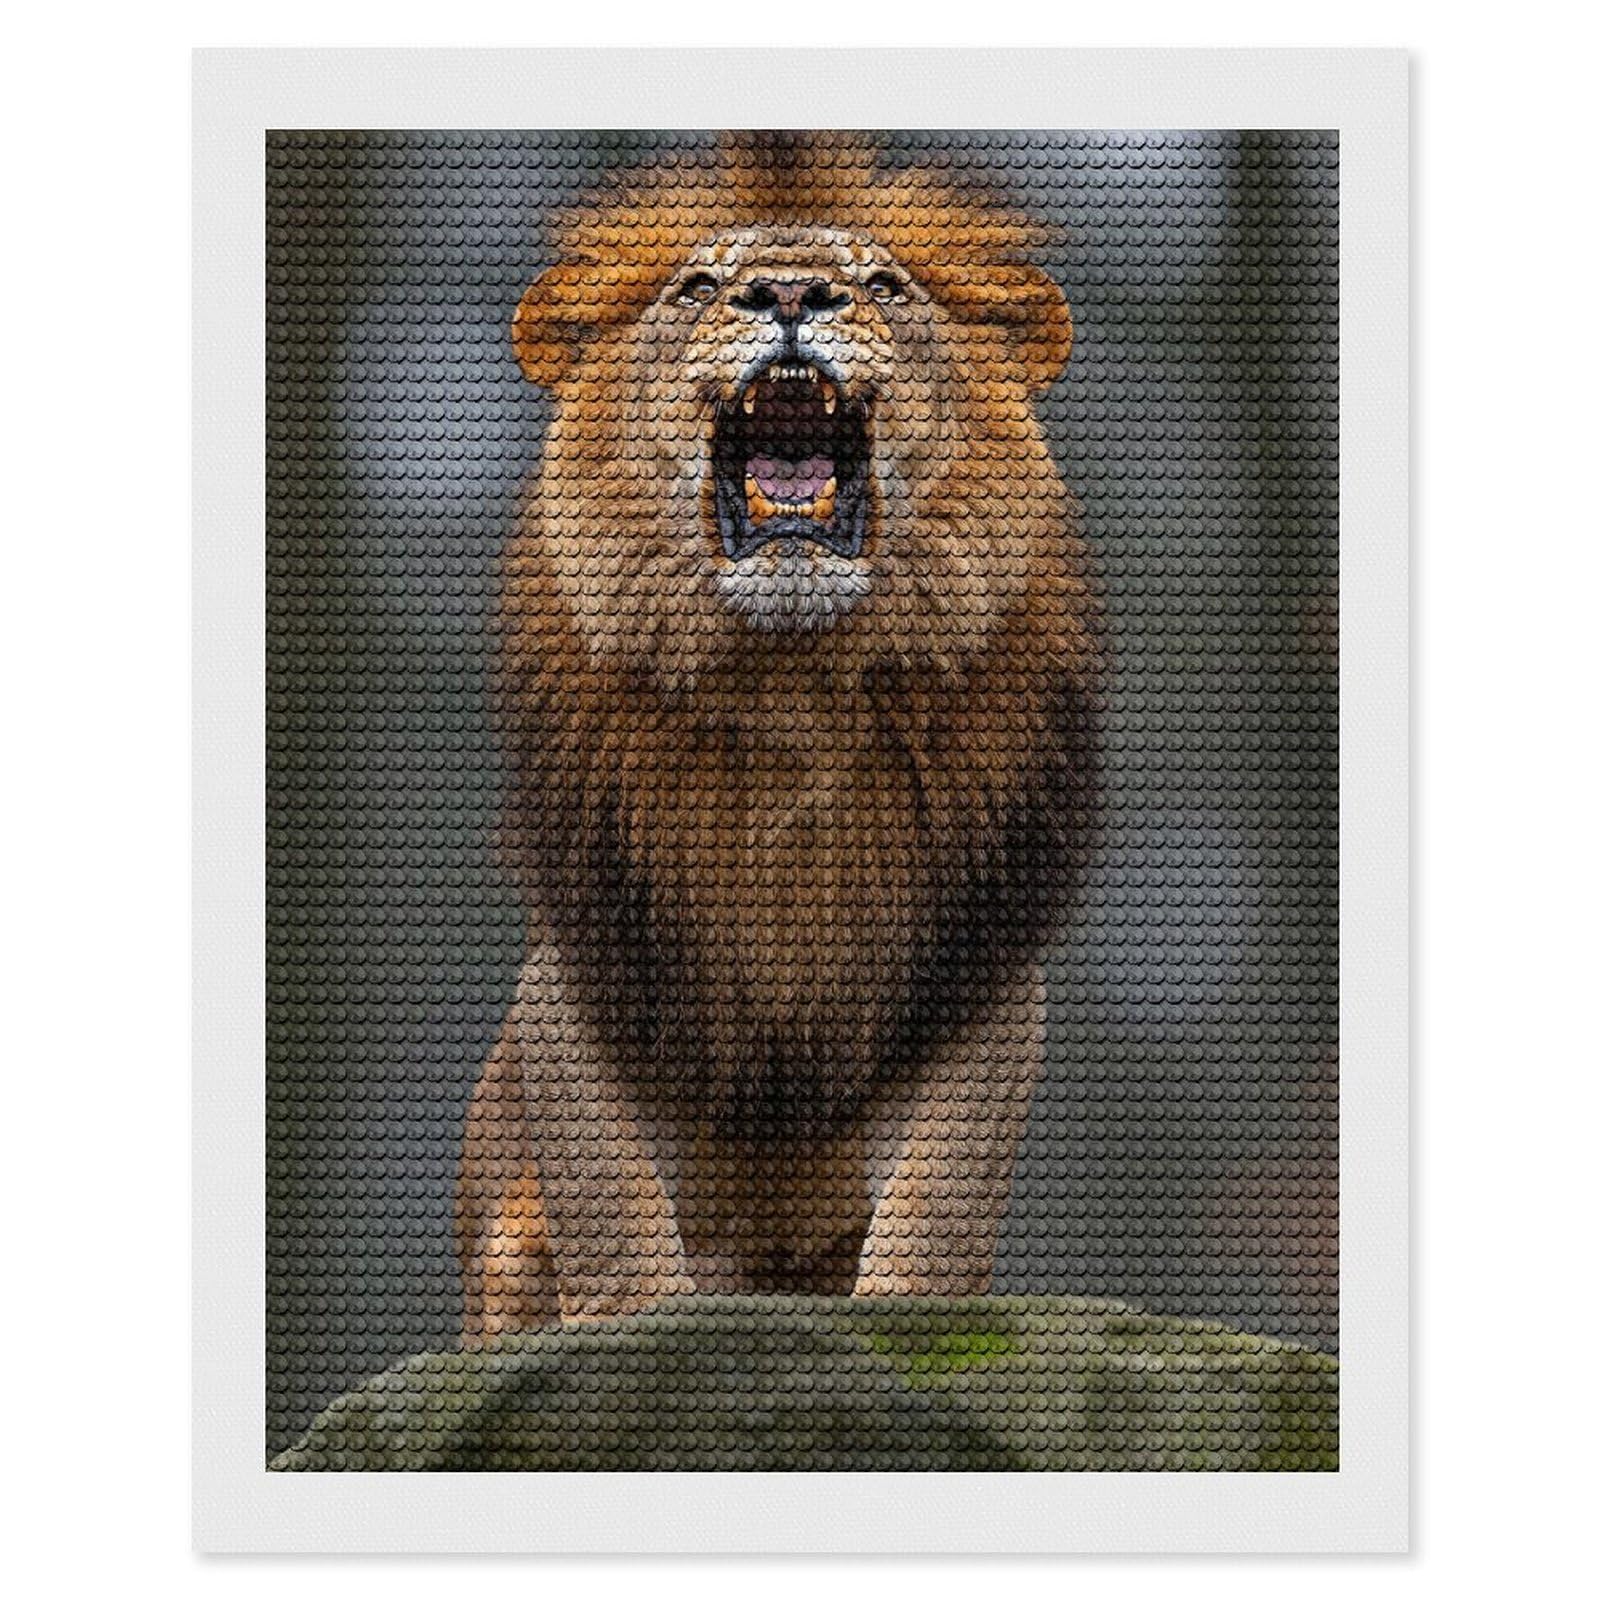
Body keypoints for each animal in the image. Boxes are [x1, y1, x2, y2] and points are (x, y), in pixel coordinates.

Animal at [455, 133, 1098, 1337]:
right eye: (696, 288)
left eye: (883, 284)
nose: (791, 295)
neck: (790, 684)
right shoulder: (598, 943)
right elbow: (607, 1188)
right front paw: (634, 1330)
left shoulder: (974, 952)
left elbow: (941, 1191)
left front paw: (912, 1326)